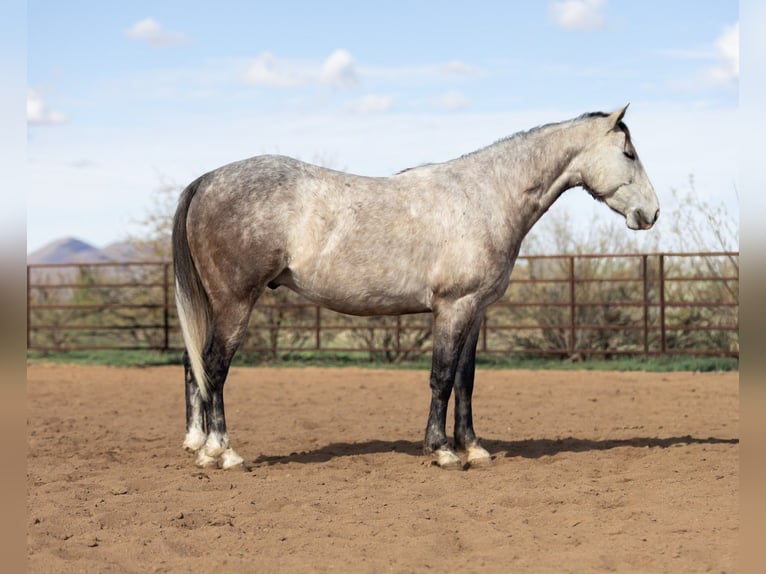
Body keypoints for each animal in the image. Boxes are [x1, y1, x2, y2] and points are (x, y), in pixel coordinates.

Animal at [172, 105, 659, 471]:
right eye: (629, 153)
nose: (651, 213)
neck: (485, 197)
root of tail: (207, 180)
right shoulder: (452, 307)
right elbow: (441, 377)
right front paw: (441, 450)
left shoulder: (475, 311)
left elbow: (465, 379)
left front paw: (473, 447)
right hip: (235, 302)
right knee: (213, 367)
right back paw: (222, 452)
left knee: (194, 366)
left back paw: (197, 444)